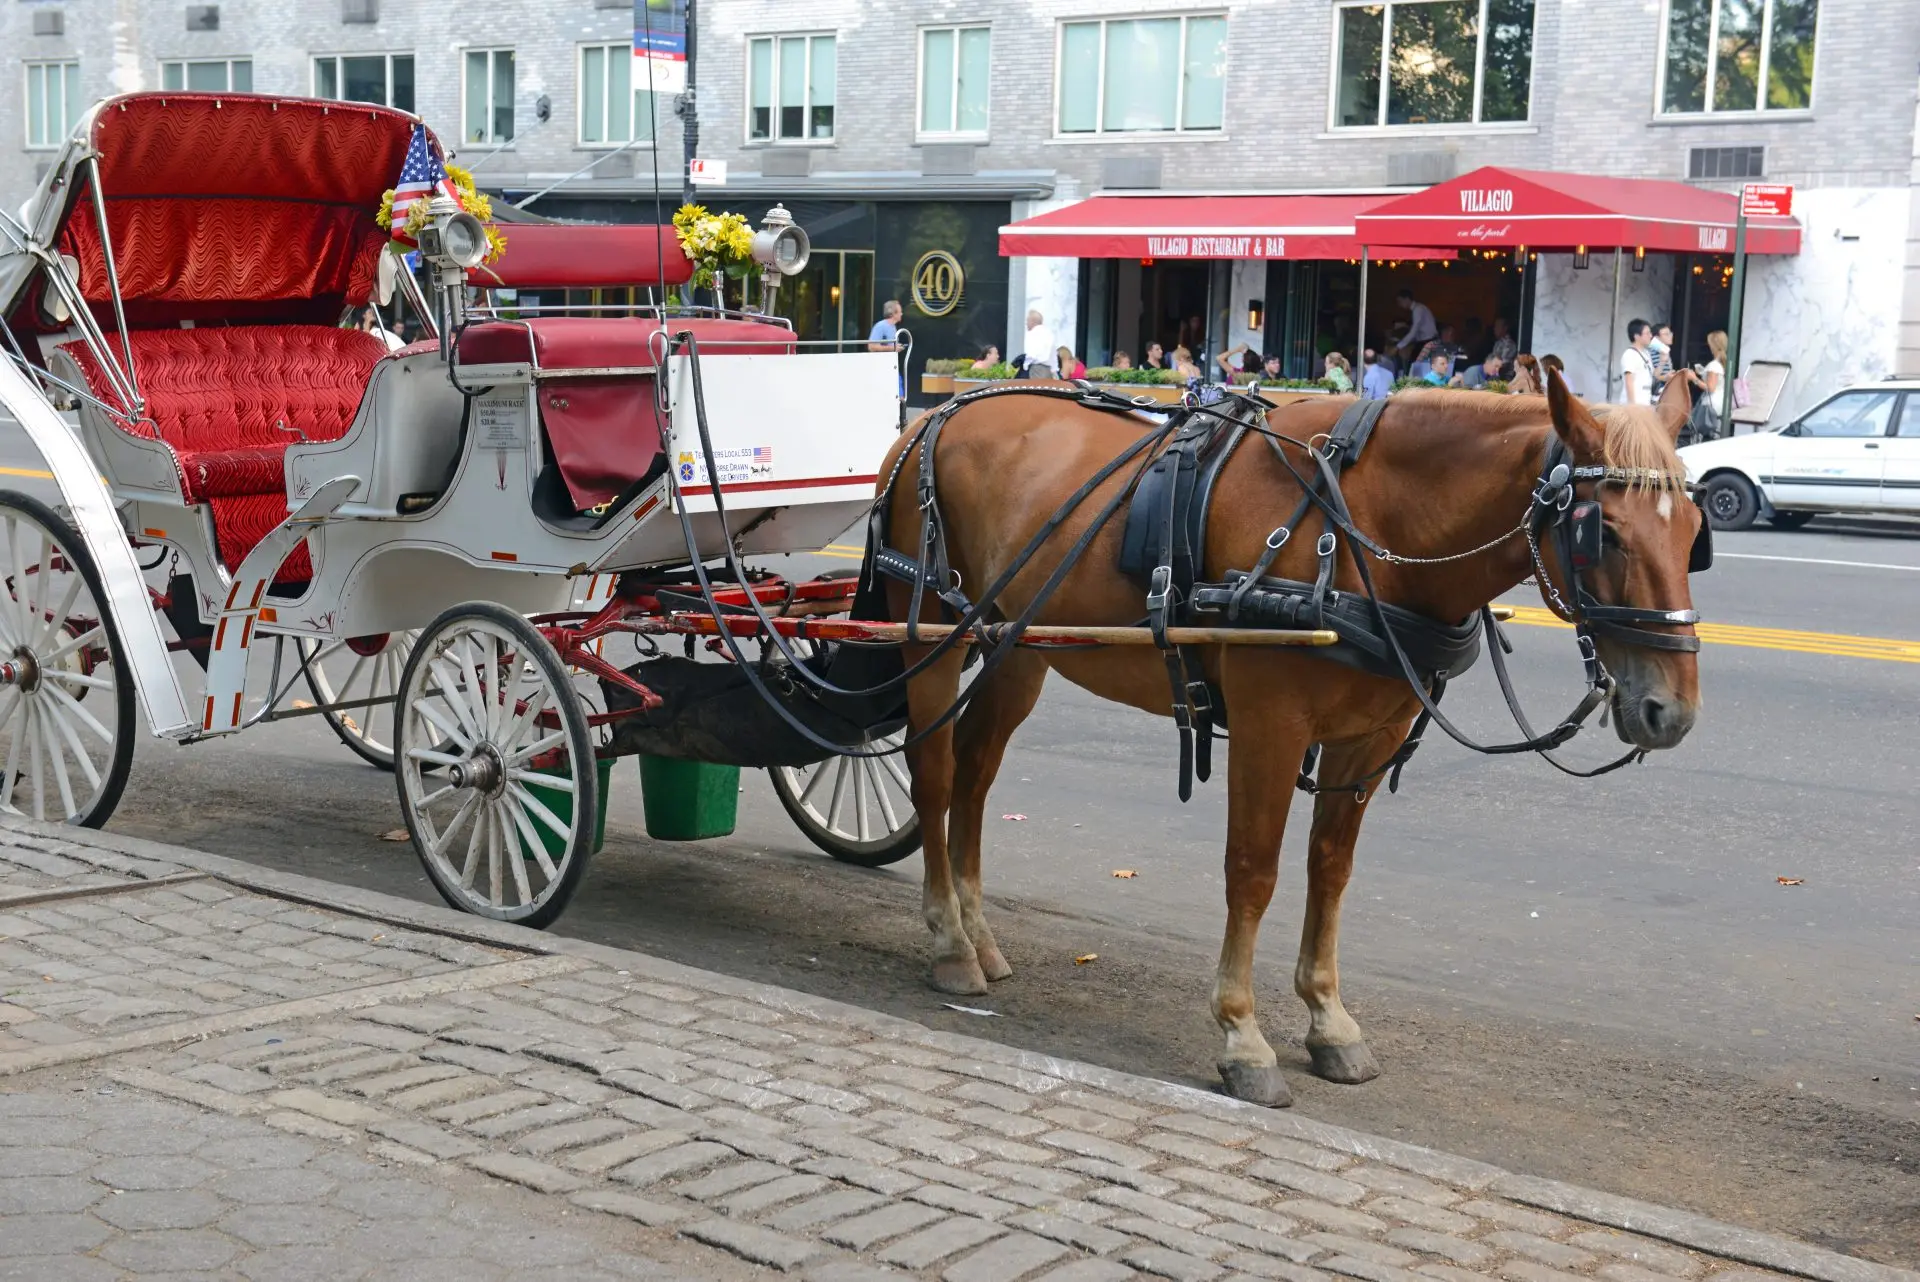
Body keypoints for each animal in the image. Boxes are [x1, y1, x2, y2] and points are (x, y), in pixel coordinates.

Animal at [879, 368, 1704, 1105]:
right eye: (1606, 535)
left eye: (1695, 535)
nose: (1673, 712)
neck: (1366, 527)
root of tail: (932, 415)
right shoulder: (1268, 724)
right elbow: (1254, 872)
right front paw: (1242, 1035)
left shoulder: (1370, 735)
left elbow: (1329, 870)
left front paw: (1329, 1021)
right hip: (933, 635)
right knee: (934, 776)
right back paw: (948, 941)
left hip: (1016, 645)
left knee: (974, 777)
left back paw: (977, 932)